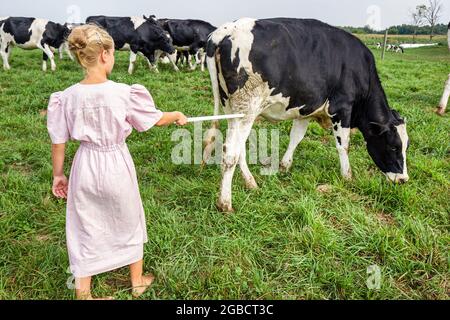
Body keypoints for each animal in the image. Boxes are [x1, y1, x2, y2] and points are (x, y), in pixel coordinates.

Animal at [206, 17, 410, 212]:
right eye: (393, 146)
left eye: (406, 146)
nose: (403, 179)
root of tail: (224, 31)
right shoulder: (341, 108)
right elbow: (343, 146)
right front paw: (347, 176)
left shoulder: (305, 110)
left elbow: (296, 137)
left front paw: (285, 165)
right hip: (247, 108)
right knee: (230, 152)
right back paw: (225, 203)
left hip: (232, 109)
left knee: (238, 148)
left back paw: (250, 182)